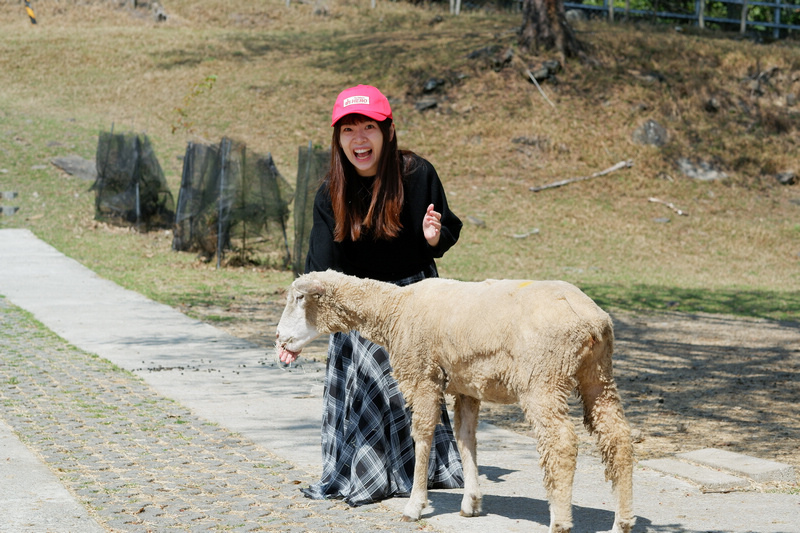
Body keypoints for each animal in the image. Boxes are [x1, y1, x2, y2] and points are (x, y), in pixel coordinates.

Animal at [278, 270, 636, 532]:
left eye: (299, 298)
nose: (280, 338)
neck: (394, 309)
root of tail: (591, 320)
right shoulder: (466, 386)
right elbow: (465, 439)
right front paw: (471, 502)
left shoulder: (421, 375)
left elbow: (423, 436)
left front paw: (415, 505)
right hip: (598, 375)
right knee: (617, 438)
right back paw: (621, 522)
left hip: (544, 378)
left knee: (560, 443)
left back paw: (560, 522)